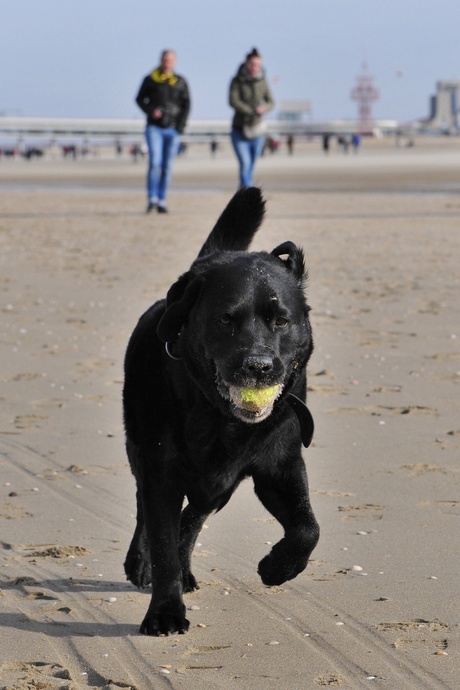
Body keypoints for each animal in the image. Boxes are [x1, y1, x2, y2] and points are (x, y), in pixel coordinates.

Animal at [124, 187, 322, 636]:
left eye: (281, 320)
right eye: (226, 320)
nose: (258, 366)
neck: (220, 419)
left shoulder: (280, 465)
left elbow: (308, 528)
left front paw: (278, 567)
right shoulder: (160, 473)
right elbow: (162, 542)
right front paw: (165, 612)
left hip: (221, 486)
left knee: (194, 516)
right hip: (139, 452)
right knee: (147, 512)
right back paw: (140, 564)